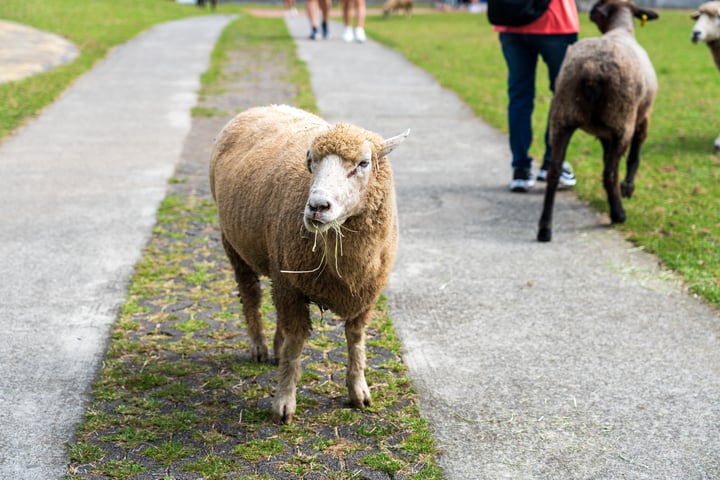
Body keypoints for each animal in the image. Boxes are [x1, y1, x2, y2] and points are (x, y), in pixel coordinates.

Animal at [209, 104, 409, 424]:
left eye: (363, 163)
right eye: (310, 162)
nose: (317, 207)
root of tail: (264, 107)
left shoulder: (366, 292)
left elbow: (356, 339)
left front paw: (358, 391)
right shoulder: (291, 284)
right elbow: (295, 343)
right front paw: (284, 402)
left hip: (277, 263)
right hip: (235, 245)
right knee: (251, 296)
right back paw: (259, 346)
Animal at [537, 0, 659, 242]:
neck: (621, 29)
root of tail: (593, 70)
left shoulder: (604, 131)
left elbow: (606, 158)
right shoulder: (643, 116)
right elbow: (634, 156)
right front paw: (628, 188)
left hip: (562, 115)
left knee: (554, 171)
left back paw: (545, 228)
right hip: (622, 118)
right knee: (610, 173)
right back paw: (618, 214)